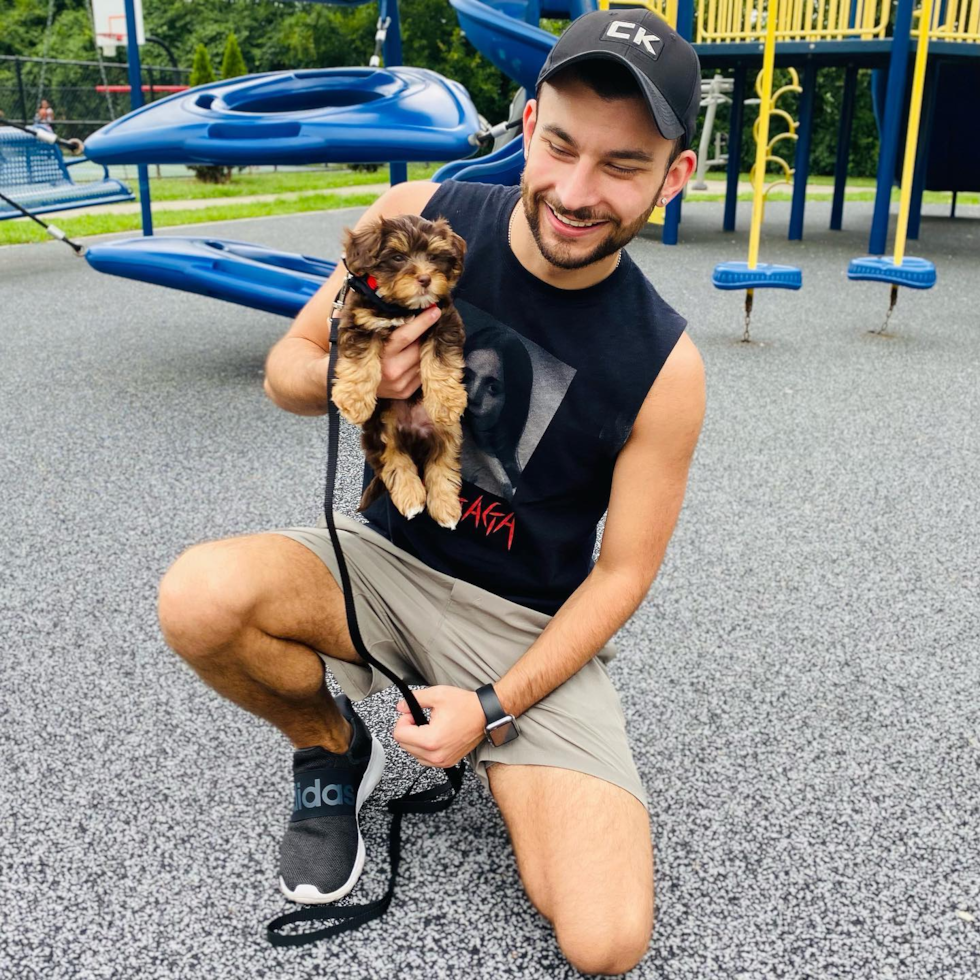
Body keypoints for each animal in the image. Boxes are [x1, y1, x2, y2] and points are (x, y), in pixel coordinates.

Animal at [332, 214, 468, 532]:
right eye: (397, 257)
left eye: (434, 257)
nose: (425, 279)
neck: (400, 308)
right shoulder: (359, 321)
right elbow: (361, 360)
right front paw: (354, 401)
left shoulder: (444, 321)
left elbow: (441, 361)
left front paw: (447, 402)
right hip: (380, 429)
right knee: (394, 460)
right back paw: (411, 497)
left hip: (448, 432)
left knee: (441, 464)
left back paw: (445, 508)